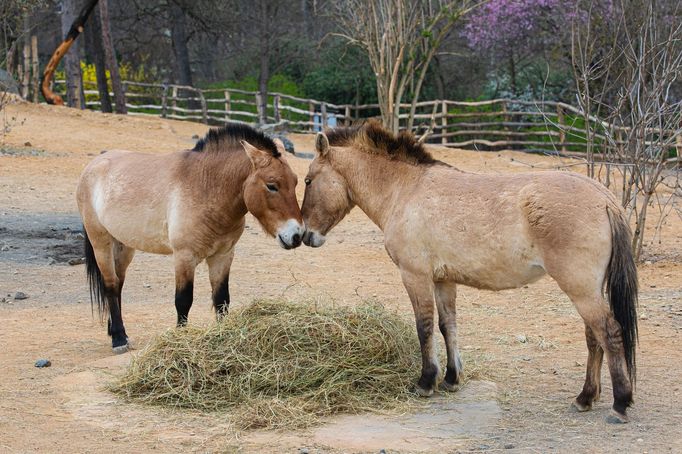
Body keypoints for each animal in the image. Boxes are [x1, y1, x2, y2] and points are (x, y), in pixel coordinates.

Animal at [77, 124, 302, 354]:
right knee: (111, 284)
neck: (205, 187)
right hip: (101, 242)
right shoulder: (184, 256)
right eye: (272, 185)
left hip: (124, 246)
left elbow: (222, 299)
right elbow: (183, 300)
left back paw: (114, 330)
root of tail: (92, 166)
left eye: (295, 182)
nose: (296, 235)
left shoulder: (223, 256)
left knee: (119, 284)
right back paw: (119, 338)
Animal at [300, 122, 636, 424]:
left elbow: (424, 327)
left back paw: (620, 404)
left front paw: (426, 382)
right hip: (587, 289)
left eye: (308, 180)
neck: (405, 190)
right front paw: (451, 378)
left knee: (609, 333)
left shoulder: (415, 276)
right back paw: (585, 398)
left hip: (580, 289)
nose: (305, 235)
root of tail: (605, 199)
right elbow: (448, 326)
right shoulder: (443, 280)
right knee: (594, 338)